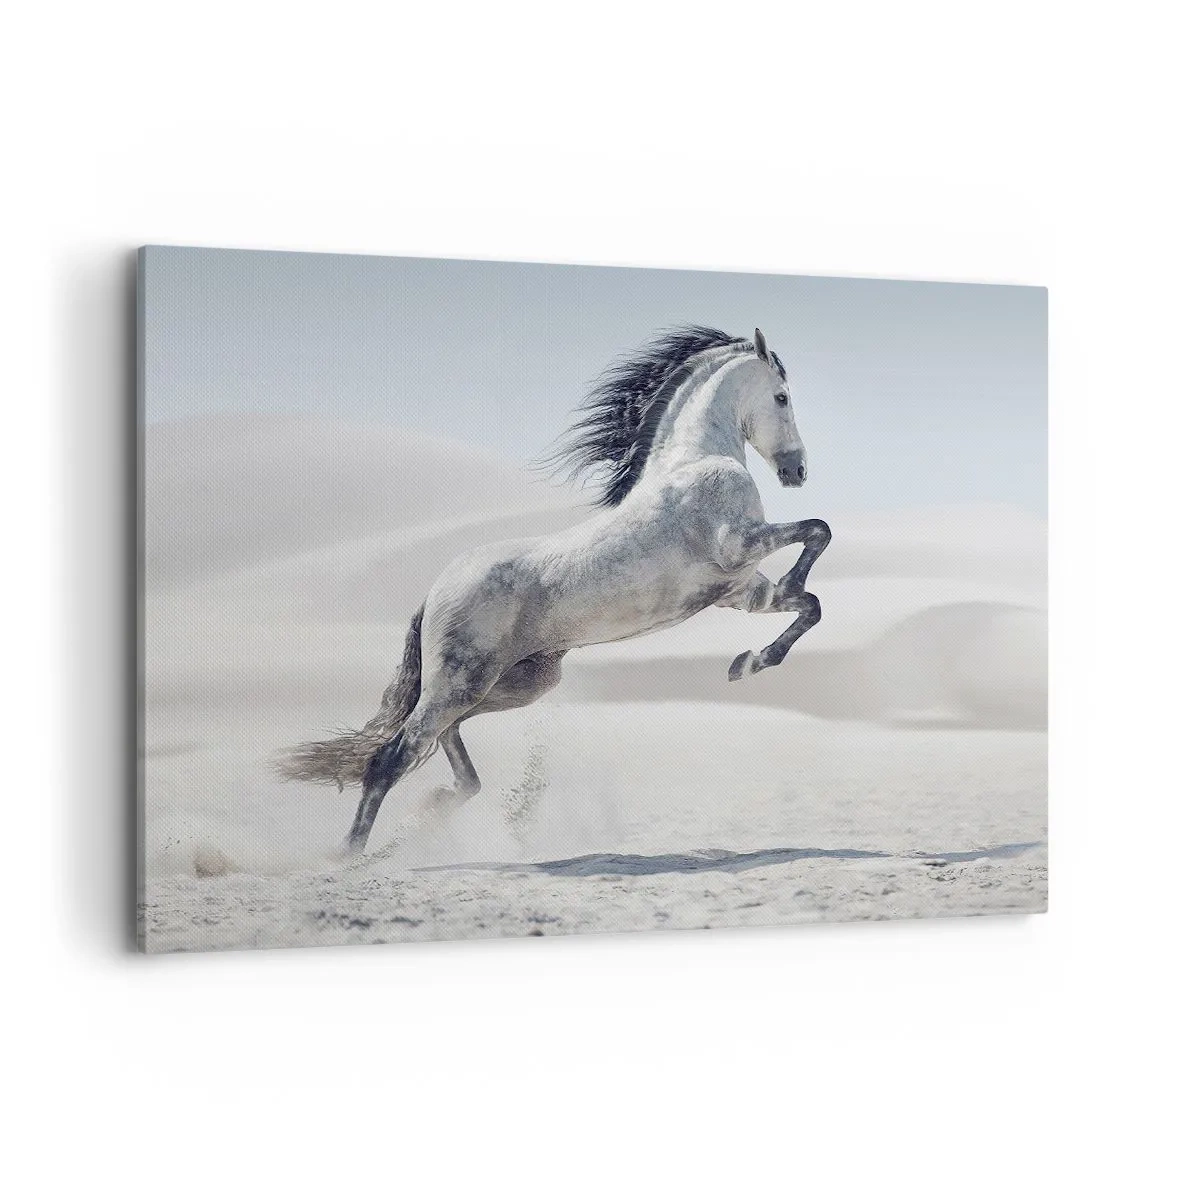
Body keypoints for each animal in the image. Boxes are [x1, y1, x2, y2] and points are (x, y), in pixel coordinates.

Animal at [278, 325, 831, 853]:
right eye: (782, 396)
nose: (798, 471)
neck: (694, 461)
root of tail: (434, 593)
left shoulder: (739, 590)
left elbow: (810, 605)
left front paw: (748, 662)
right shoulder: (739, 545)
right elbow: (818, 532)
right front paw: (770, 622)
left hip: (516, 683)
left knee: (443, 737)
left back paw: (437, 805)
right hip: (462, 682)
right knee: (393, 755)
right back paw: (349, 855)